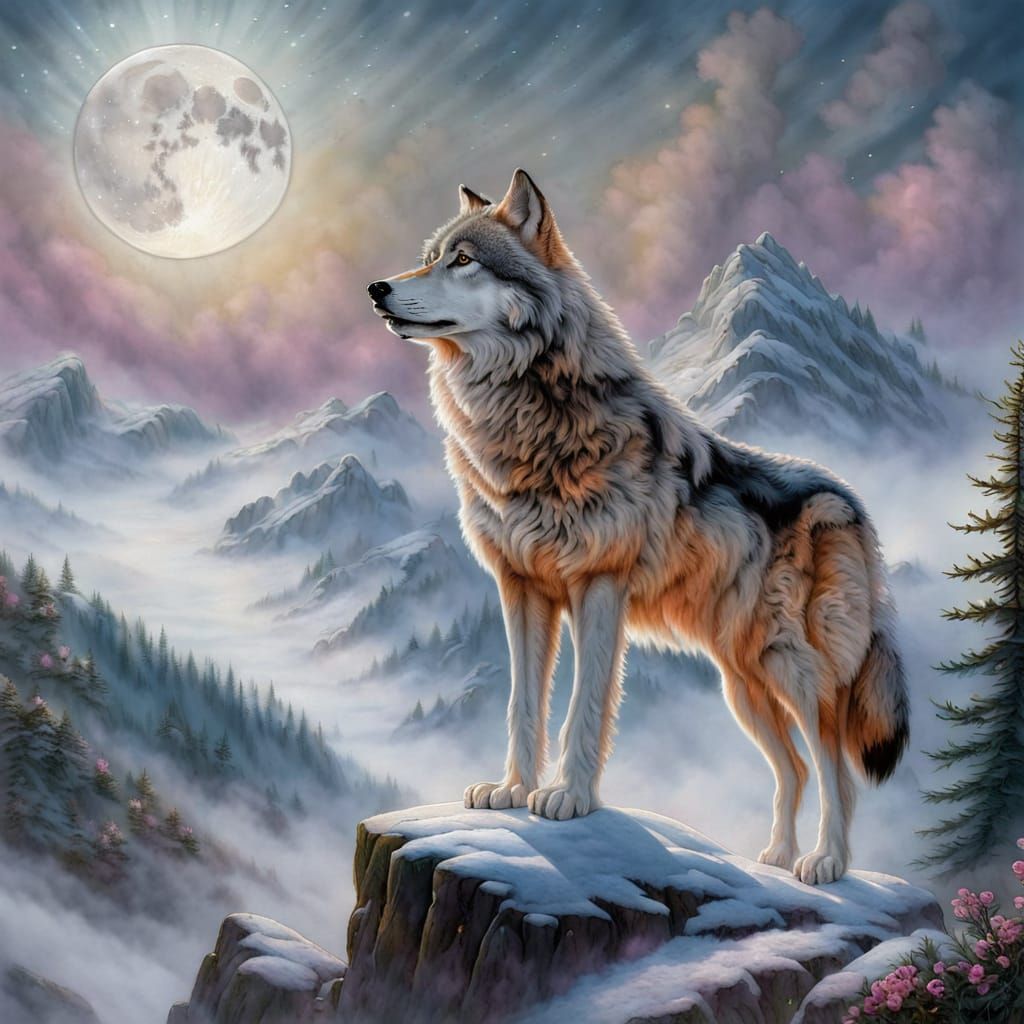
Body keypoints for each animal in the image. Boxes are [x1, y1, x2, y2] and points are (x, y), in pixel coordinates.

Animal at [367, 170, 908, 884]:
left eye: (462, 260)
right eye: (430, 256)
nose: (377, 288)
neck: (523, 420)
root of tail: (854, 504)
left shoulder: (599, 587)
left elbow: (584, 708)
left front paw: (567, 797)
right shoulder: (521, 589)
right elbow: (523, 704)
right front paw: (511, 790)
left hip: (797, 671)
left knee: (835, 769)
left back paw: (824, 864)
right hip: (743, 685)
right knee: (793, 768)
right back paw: (773, 859)